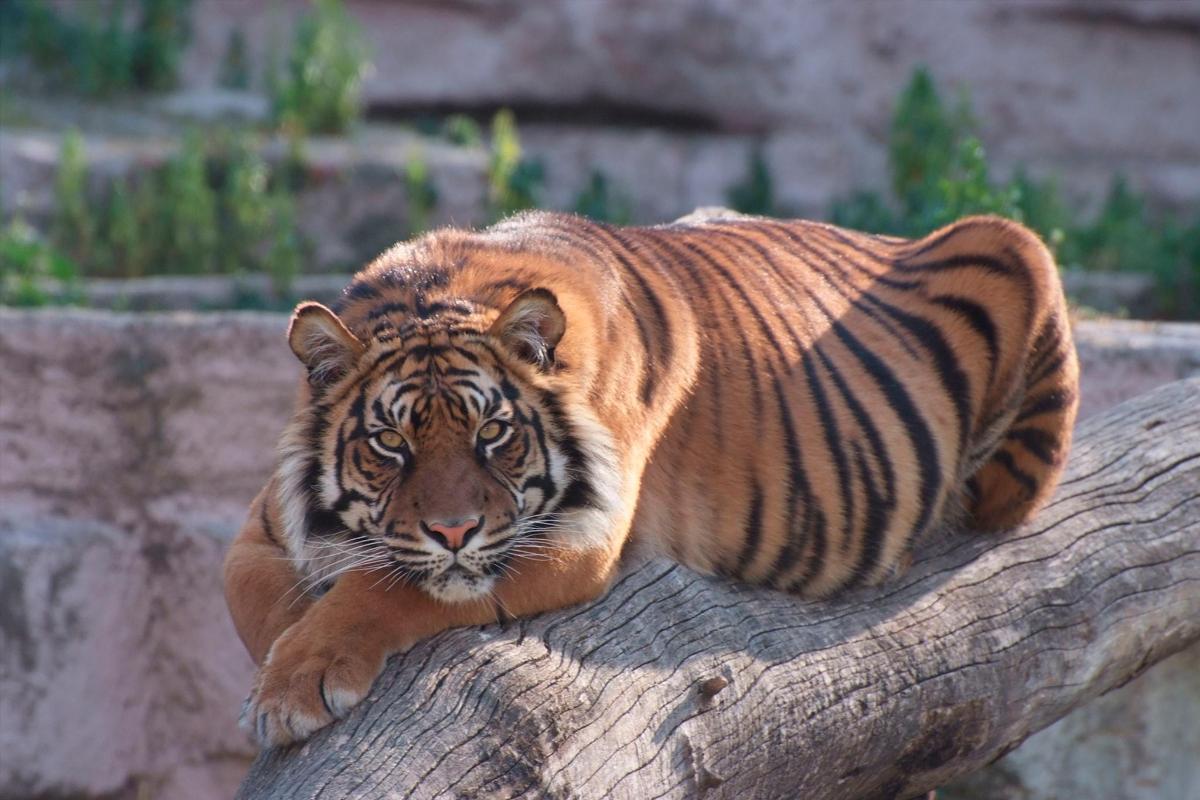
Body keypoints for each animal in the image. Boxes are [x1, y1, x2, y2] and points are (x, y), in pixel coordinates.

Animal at [224, 209, 1079, 747]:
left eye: (493, 434)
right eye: (391, 442)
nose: (453, 531)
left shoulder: (574, 536)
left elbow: (385, 586)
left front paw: (296, 683)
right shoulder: (269, 520)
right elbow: (253, 594)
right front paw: (282, 664)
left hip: (1016, 253)